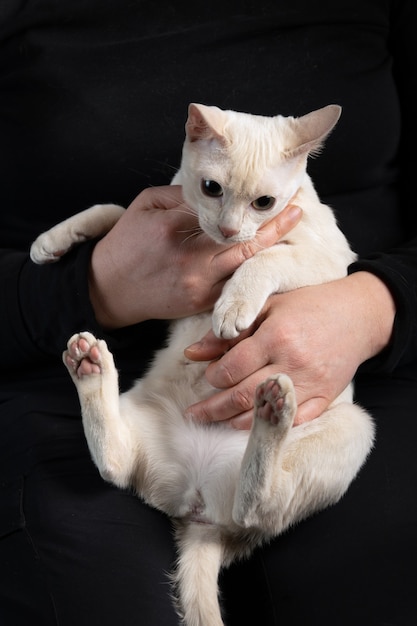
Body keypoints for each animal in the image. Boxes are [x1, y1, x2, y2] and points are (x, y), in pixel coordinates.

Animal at [30, 103, 374, 624]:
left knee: (258, 505)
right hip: (140, 423)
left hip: (355, 427)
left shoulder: (328, 259)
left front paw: (233, 306)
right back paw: (89, 364)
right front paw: (52, 240)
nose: (229, 231)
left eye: (264, 203)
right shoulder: (167, 211)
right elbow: (111, 210)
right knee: (116, 466)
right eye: (212, 189)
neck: (215, 247)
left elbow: (264, 258)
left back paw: (273, 410)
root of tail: (199, 513)